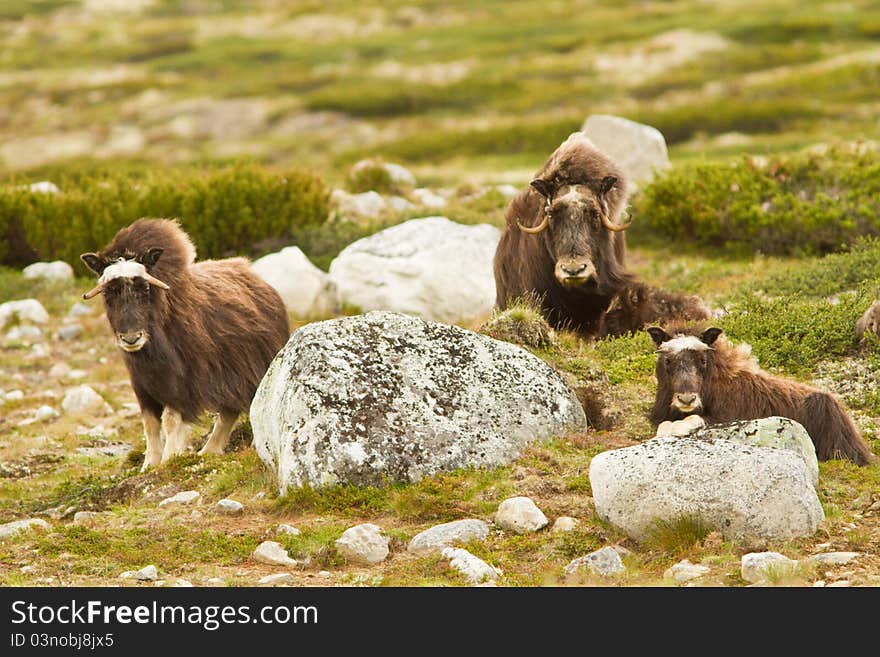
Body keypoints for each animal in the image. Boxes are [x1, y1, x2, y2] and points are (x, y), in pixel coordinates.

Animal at [81, 218, 290, 468]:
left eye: (145, 288)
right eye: (108, 292)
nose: (131, 338)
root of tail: (262, 283)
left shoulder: (181, 385)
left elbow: (170, 420)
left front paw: (170, 459)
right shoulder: (142, 387)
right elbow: (150, 424)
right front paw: (149, 464)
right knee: (228, 412)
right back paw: (208, 451)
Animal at [644, 322, 876, 464]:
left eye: (702, 360)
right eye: (667, 360)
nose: (686, 399)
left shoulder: (725, 417)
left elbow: (688, 421)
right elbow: (665, 426)